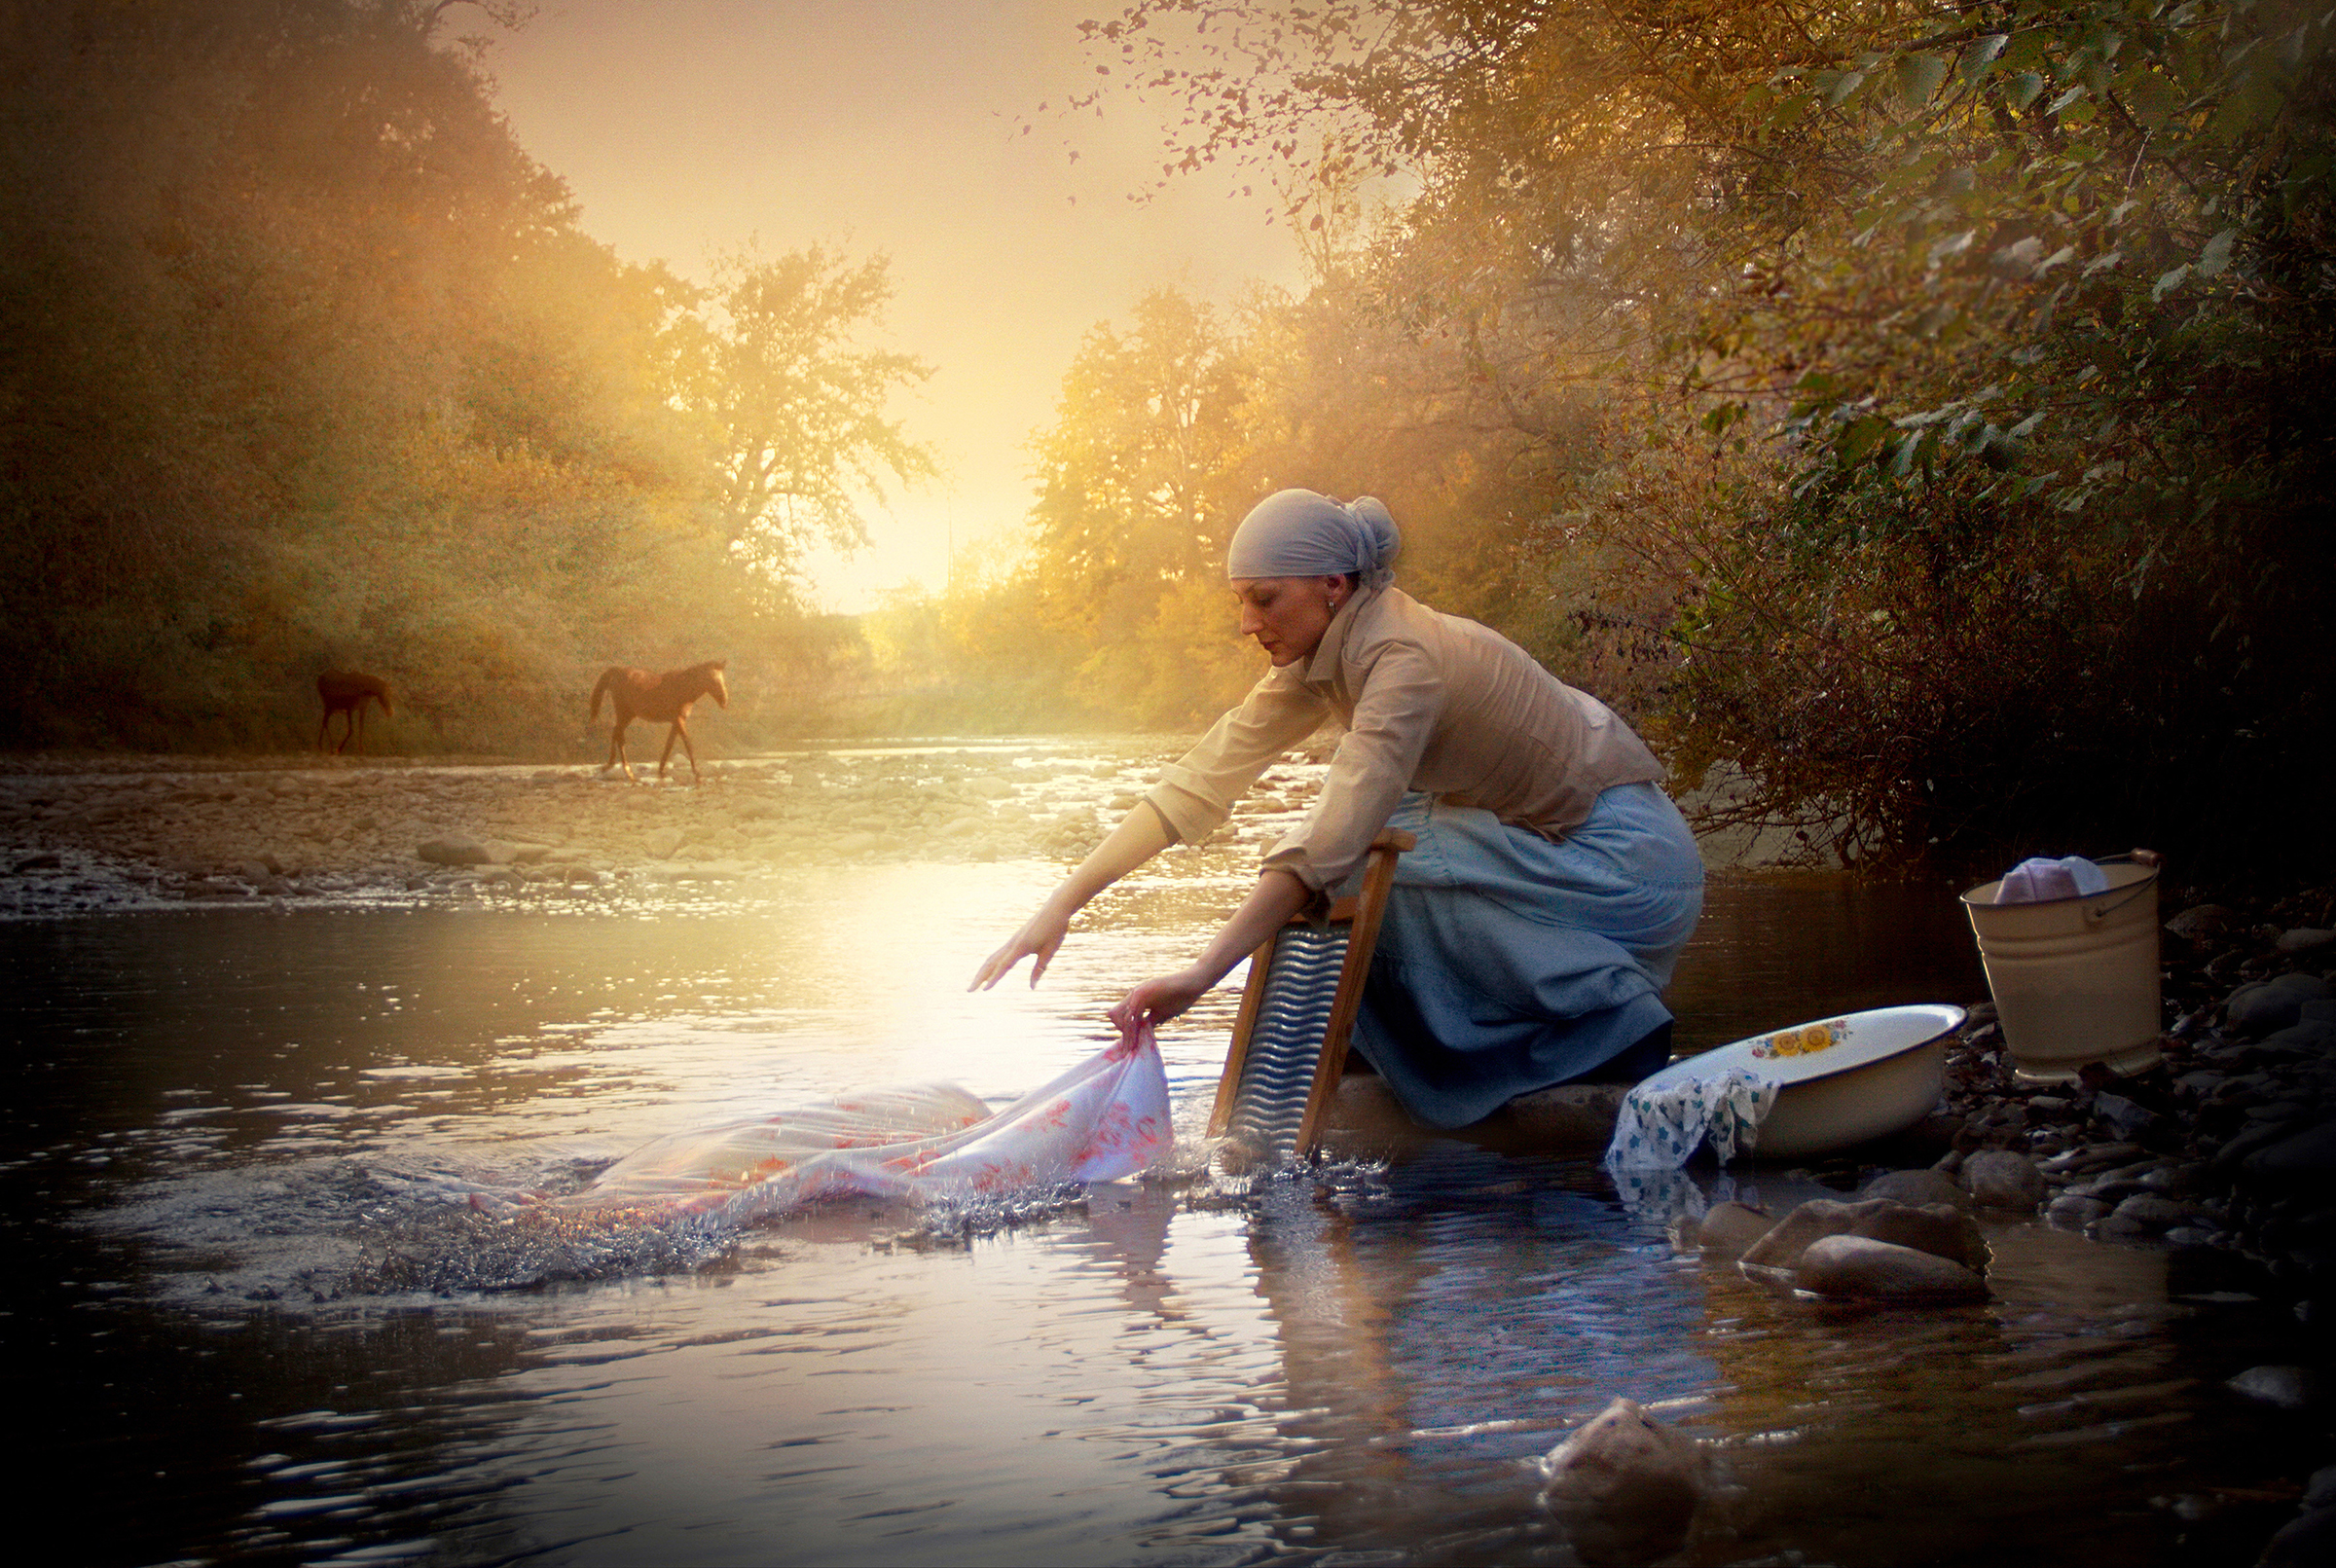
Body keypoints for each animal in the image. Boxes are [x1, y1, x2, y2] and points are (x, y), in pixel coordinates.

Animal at [588, 659, 724, 784]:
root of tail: (616, 671)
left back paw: (611, 765)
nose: (724, 701)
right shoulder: (678, 719)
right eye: (713, 679)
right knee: (619, 735)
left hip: (629, 715)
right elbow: (688, 744)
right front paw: (697, 773)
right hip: (624, 712)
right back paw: (627, 772)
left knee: (616, 732)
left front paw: (661, 770)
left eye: (722, 679)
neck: (683, 688)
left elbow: (669, 745)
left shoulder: (676, 721)